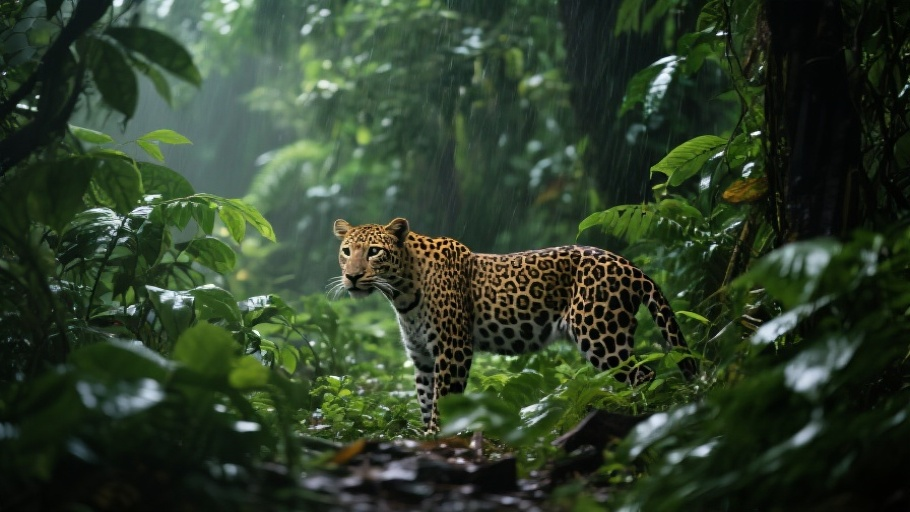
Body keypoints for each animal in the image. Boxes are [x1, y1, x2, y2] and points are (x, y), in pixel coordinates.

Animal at [332, 217, 698, 433]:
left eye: (374, 251)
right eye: (346, 251)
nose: (352, 276)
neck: (401, 291)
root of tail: (631, 266)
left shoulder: (452, 351)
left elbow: (442, 404)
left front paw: (440, 439)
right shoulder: (422, 358)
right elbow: (425, 402)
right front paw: (426, 441)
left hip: (600, 333)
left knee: (644, 374)